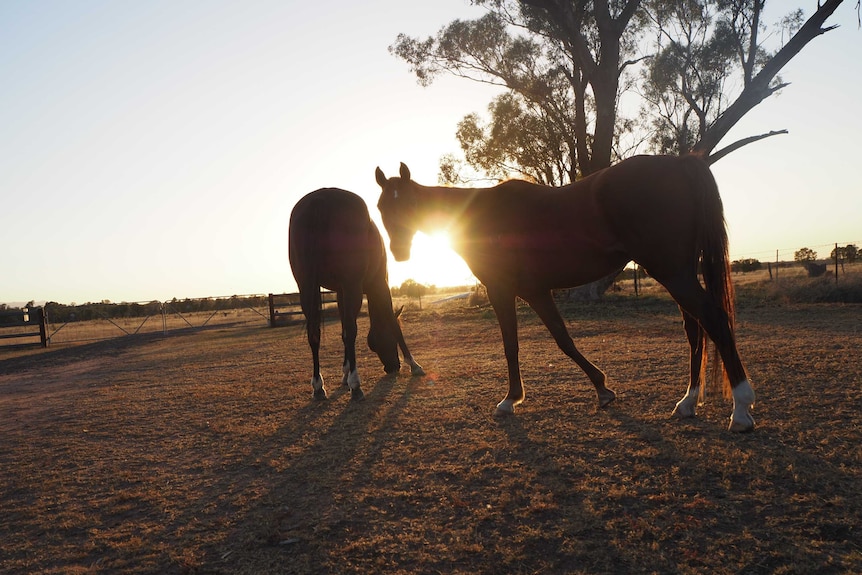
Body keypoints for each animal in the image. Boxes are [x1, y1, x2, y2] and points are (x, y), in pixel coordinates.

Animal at [290, 189, 426, 400]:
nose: (392, 367)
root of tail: (322, 198)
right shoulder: (379, 285)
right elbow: (392, 323)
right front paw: (414, 364)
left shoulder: (340, 291)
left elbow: (342, 330)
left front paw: (344, 374)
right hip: (351, 285)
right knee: (351, 331)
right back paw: (356, 385)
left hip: (306, 287)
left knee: (315, 334)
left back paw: (318, 386)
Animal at [378, 155, 756, 434]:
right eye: (382, 208)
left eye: (408, 203)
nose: (398, 253)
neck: (481, 216)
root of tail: (680, 162)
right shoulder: (535, 291)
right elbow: (563, 340)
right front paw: (602, 389)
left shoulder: (502, 290)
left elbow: (511, 345)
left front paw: (509, 400)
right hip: (678, 272)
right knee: (695, 330)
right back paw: (688, 402)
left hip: (673, 272)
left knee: (713, 320)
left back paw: (740, 410)